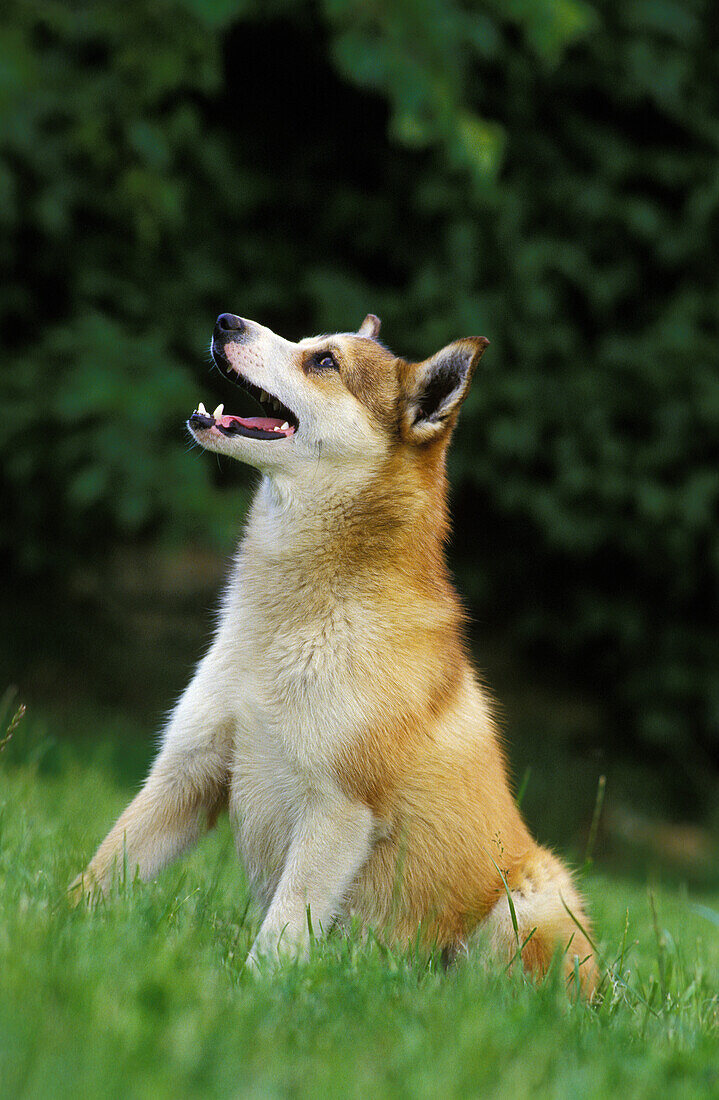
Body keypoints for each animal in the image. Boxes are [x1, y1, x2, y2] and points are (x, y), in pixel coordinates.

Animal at [70, 312, 598, 998]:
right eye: (305, 343)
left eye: (323, 363)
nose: (225, 321)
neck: (292, 622)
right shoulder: (187, 771)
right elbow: (107, 866)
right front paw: (56, 923)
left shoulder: (338, 811)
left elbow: (281, 933)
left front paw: (253, 996)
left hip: (535, 900)